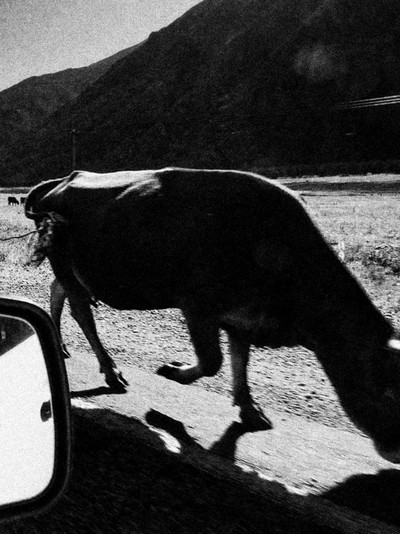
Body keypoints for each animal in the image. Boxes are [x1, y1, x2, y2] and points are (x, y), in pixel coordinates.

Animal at [25, 168, 400, 462]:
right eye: (388, 391)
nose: (394, 452)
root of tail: (65, 179)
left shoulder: (242, 318)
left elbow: (239, 362)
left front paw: (249, 409)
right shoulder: (198, 306)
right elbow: (212, 361)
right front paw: (172, 372)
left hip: (75, 272)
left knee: (58, 294)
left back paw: (62, 347)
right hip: (67, 266)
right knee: (81, 313)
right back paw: (110, 371)